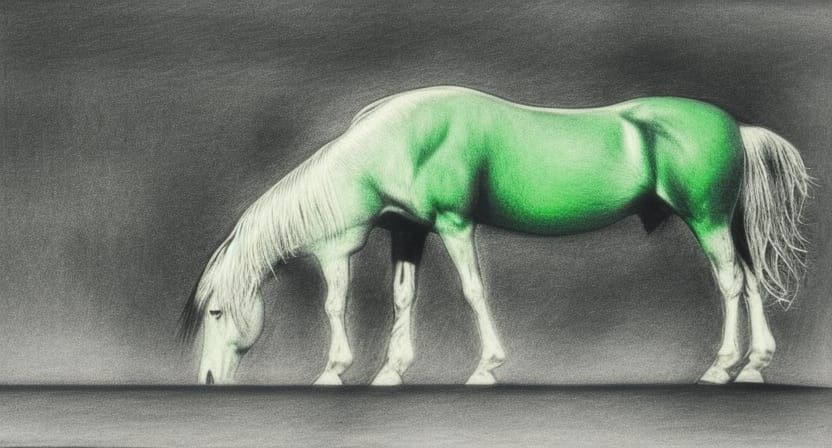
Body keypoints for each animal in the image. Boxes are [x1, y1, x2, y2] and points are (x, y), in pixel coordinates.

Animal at [179, 86, 810, 386]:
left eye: (216, 313)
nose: (207, 379)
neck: (397, 144)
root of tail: (737, 126)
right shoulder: (409, 233)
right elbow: (403, 297)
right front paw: (391, 369)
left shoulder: (454, 225)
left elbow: (471, 291)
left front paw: (485, 365)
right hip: (727, 224)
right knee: (751, 280)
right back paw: (754, 364)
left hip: (707, 220)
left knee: (730, 284)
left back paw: (720, 365)